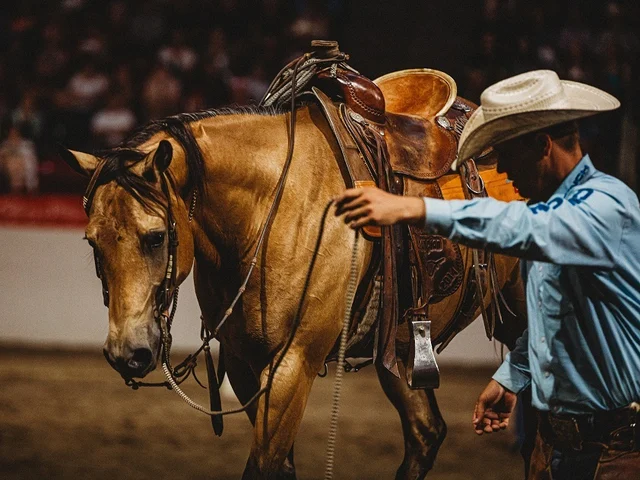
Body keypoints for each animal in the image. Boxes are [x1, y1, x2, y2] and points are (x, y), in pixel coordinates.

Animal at [60, 101, 527, 479]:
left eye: (156, 237)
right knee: (426, 434)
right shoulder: (245, 366)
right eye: (92, 242)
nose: (126, 352)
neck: (271, 211)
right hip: (401, 347)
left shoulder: (292, 366)